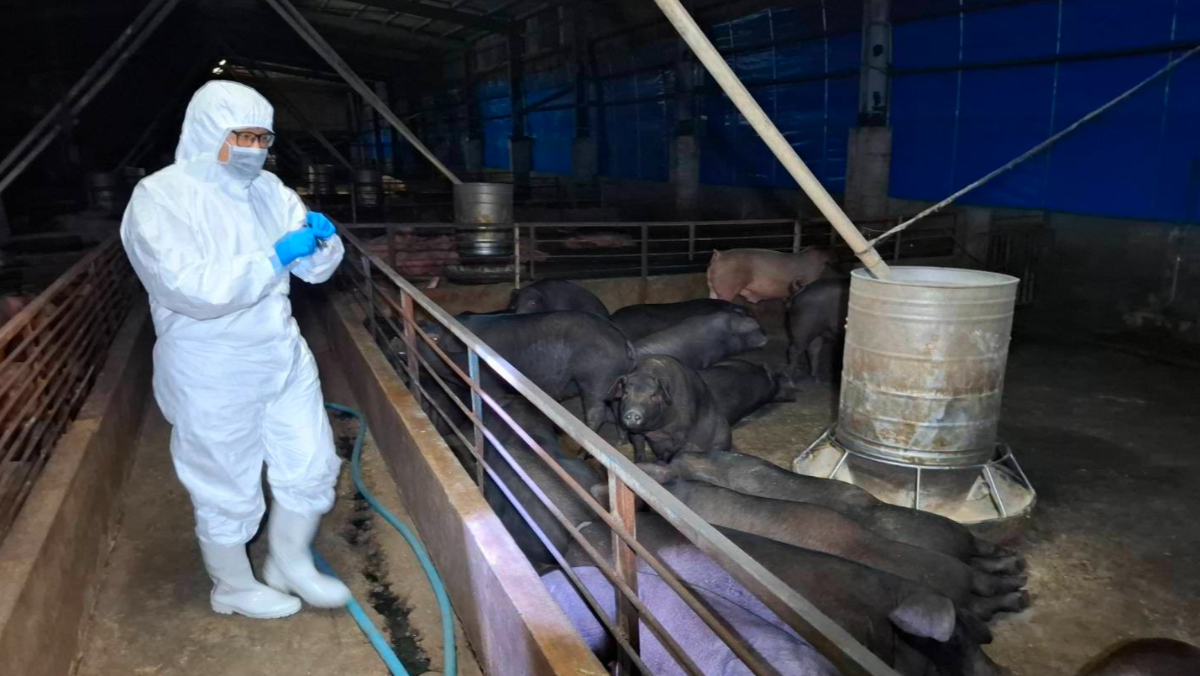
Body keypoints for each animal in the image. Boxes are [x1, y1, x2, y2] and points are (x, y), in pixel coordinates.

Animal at [421, 311, 635, 432]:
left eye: (435, 339)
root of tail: (624, 340)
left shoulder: (489, 382)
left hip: (595, 379)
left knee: (596, 413)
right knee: (616, 408)